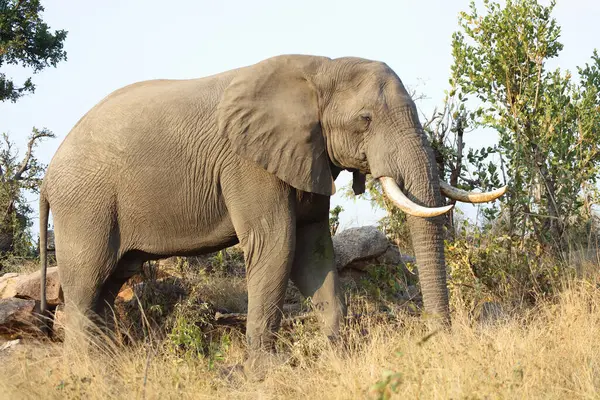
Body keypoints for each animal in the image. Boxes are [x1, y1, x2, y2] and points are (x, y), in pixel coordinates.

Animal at [38, 54, 506, 370]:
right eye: (366, 120)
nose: (438, 338)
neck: (320, 70)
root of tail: (46, 177)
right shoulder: (248, 163)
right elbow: (276, 244)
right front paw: (266, 371)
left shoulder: (309, 155)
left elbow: (314, 250)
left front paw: (337, 354)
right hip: (85, 205)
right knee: (86, 284)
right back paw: (91, 372)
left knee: (109, 283)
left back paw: (108, 364)